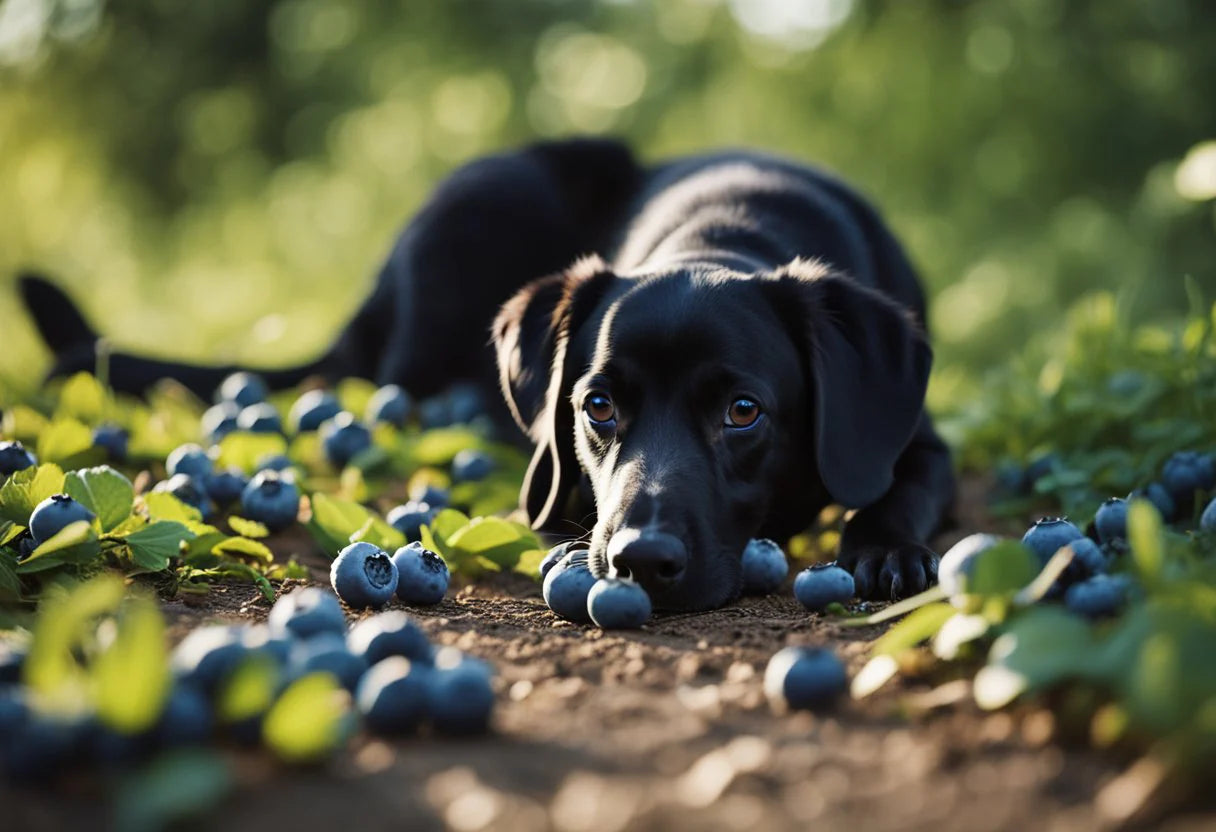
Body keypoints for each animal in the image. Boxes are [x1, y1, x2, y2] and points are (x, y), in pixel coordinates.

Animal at [14, 138, 953, 610]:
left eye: (745, 412)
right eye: (597, 405)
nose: (639, 560)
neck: (726, 234)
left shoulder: (913, 435)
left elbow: (904, 485)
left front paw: (885, 551)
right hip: (487, 197)